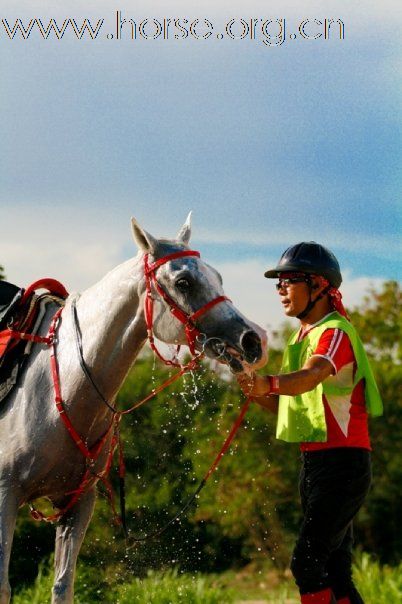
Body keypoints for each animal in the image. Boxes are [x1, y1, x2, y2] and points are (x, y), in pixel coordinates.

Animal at [0, 215, 266, 600]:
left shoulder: (77, 504)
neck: (57, 382)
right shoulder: (5, 495)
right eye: (183, 282)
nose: (252, 341)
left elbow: (63, 585)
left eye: (217, 276)